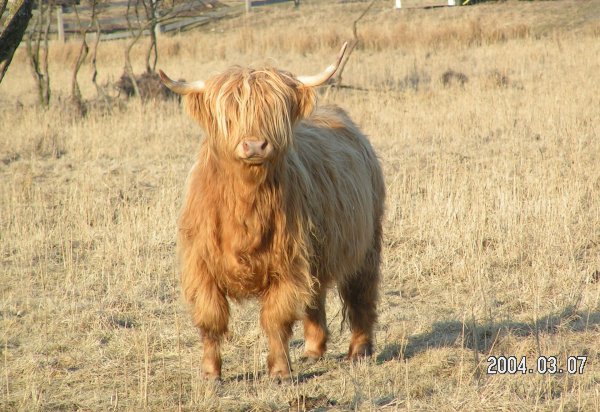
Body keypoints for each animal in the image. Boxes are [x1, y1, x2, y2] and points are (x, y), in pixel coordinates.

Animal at [159, 43, 384, 382]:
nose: (254, 145)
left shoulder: (287, 263)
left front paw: (280, 372)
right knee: (315, 294)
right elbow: (211, 320)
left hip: (366, 243)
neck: (245, 204)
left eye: (273, 110)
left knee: (360, 294)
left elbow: (277, 320)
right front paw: (210, 374)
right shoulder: (201, 265)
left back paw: (359, 351)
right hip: (316, 251)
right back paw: (313, 350)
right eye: (230, 114)